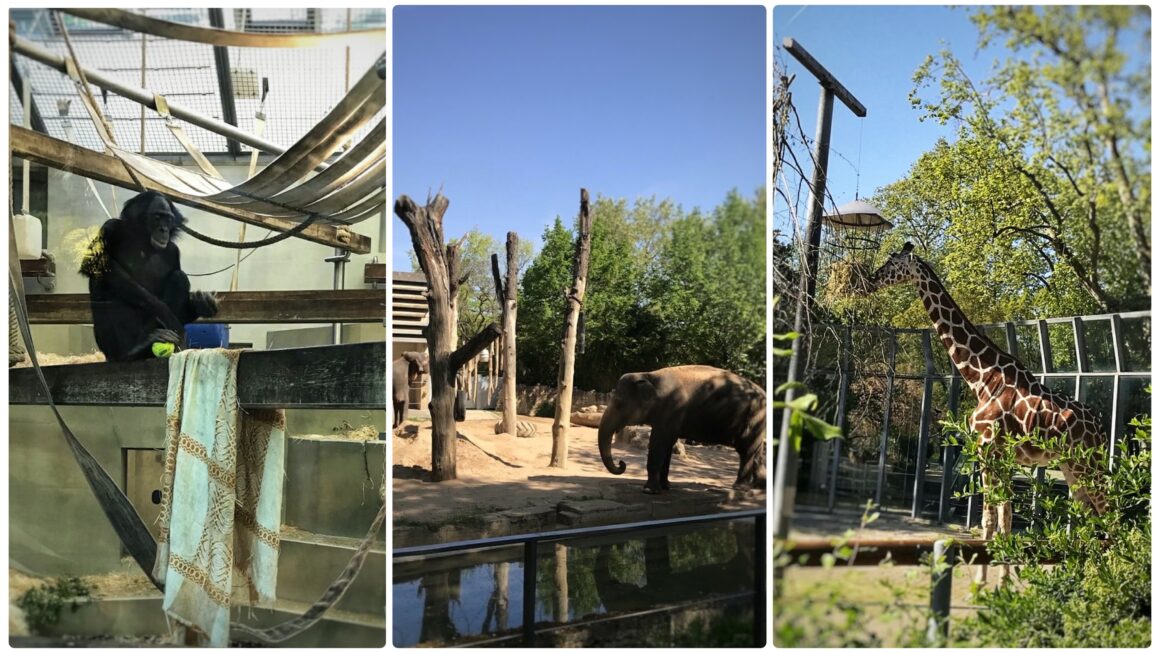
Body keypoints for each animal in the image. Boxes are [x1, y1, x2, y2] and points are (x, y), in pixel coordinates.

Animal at [598, 361, 770, 496]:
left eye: (619, 404)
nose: (622, 463)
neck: (649, 375)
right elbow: (667, 444)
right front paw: (665, 487)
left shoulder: (672, 407)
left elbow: (659, 442)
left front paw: (649, 491)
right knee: (754, 450)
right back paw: (760, 486)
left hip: (754, 415)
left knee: (746, 450)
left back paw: (740, 488)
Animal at [858, 242, 1108, 579]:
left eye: (893, 264)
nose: (869, 281)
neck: (982, 377)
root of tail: (1101, 427)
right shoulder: (1000, 456)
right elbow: (1003, 518)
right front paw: (1000, 582)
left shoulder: (987, 448)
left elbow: (989, 518)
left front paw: (984, 584)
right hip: (1072, 468)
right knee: (1089, 519)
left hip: (1089, 466)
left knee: (1111, 515)